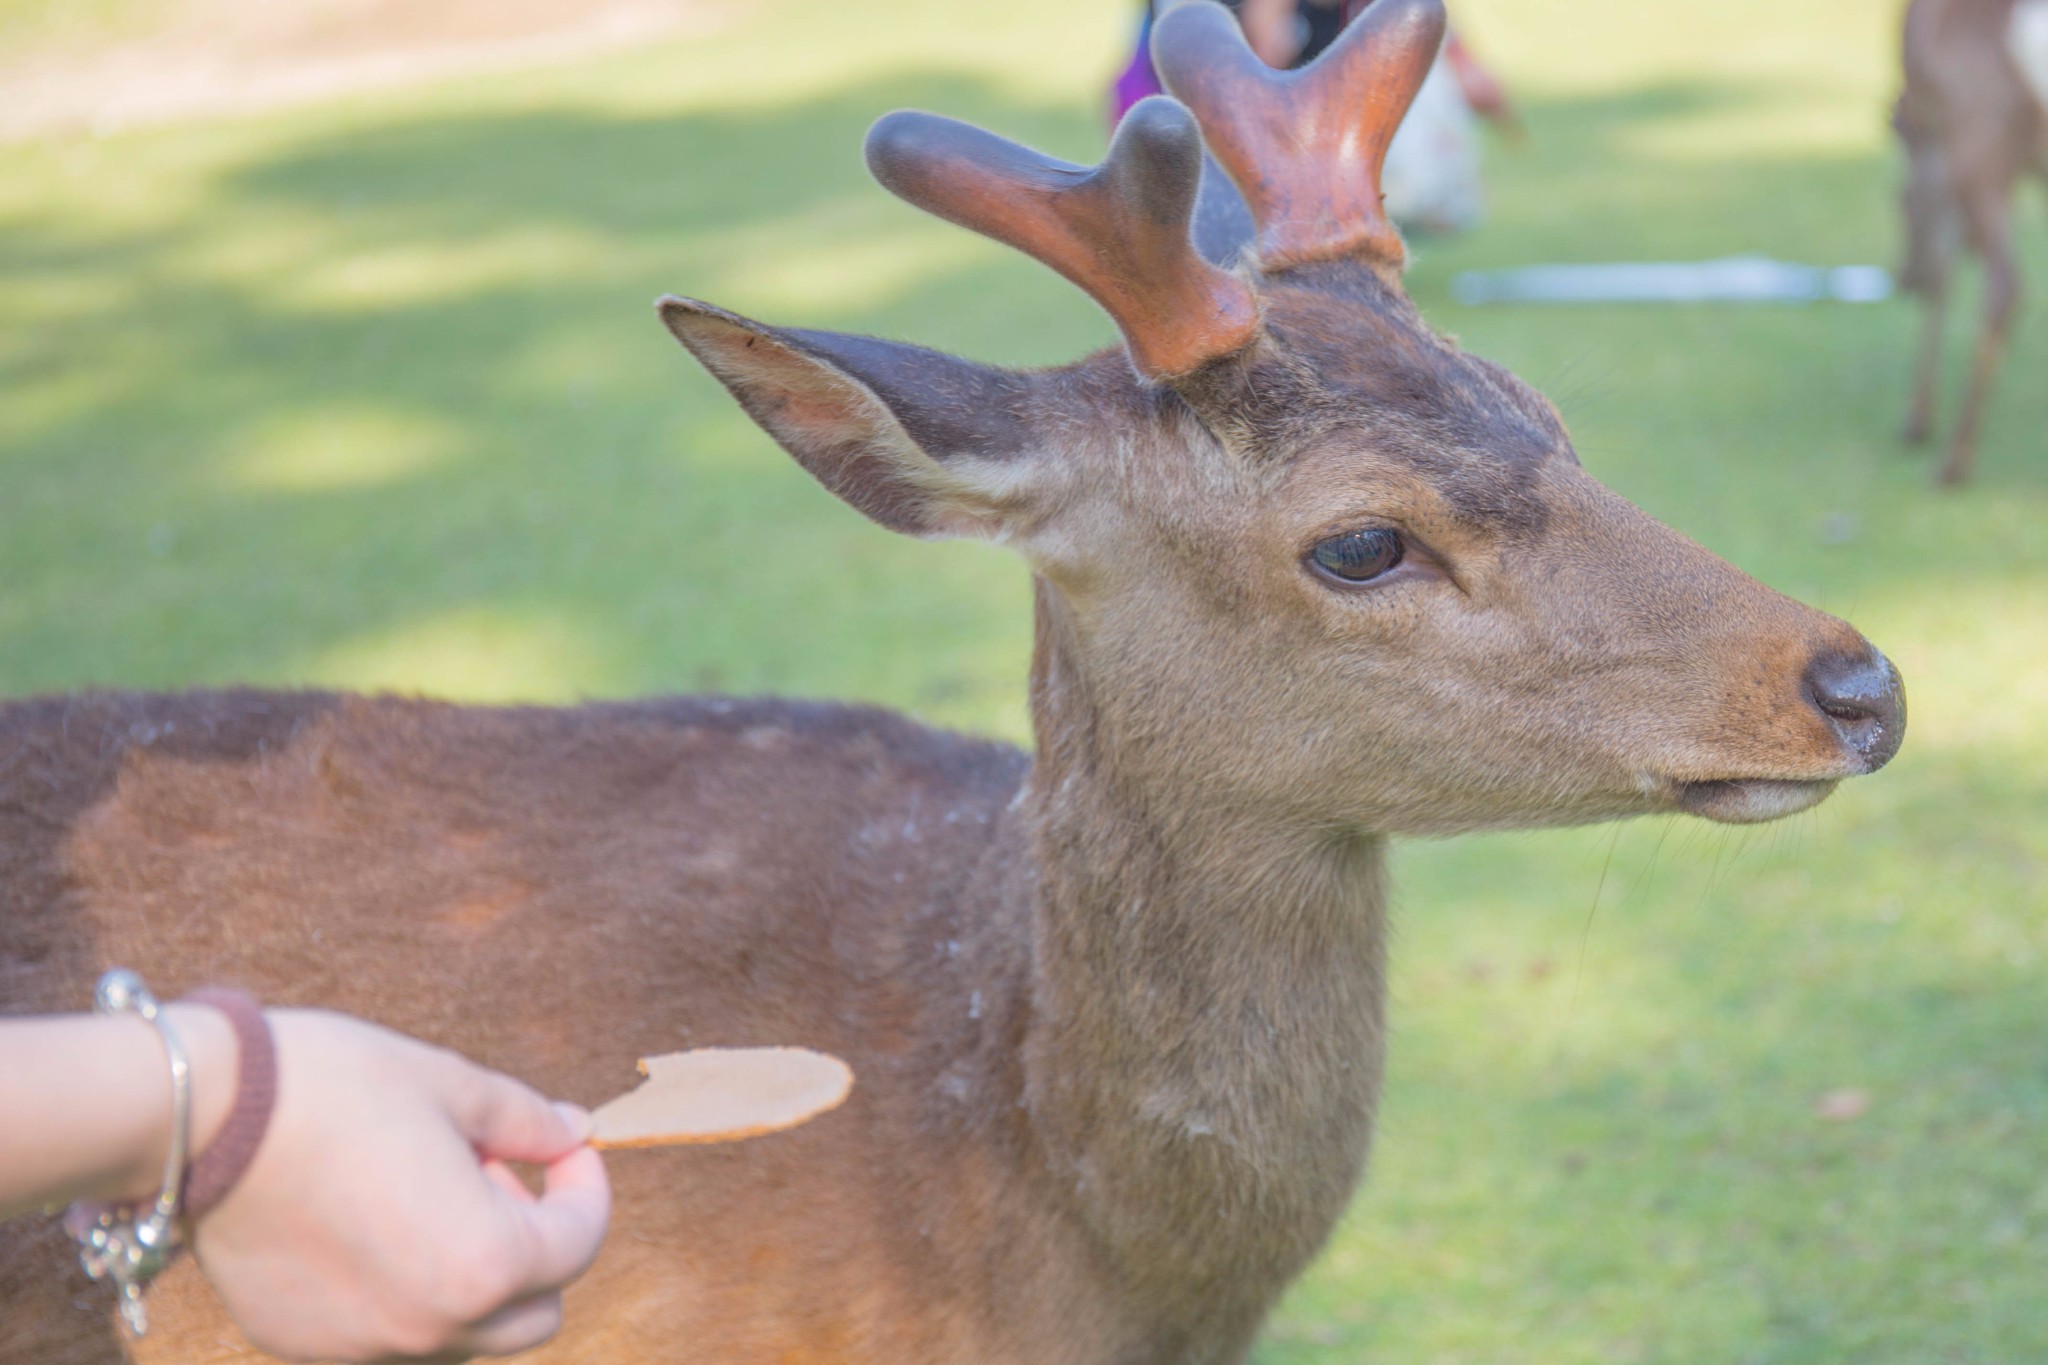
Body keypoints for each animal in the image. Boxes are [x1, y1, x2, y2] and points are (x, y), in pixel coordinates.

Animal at [1892, 0, 2039, 485]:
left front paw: (1918, 419)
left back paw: (1955, 460)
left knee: (2004, 285)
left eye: (1900, 203)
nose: (1903, 278)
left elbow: (1944, 266)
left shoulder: (1947, 131)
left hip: (1981, 134)